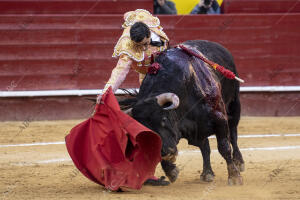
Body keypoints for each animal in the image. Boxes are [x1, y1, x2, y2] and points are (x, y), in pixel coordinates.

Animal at [120, 39, 245, 185]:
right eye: (146, 129)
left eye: (163, 119)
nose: (165, 153)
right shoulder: (190, 129)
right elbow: (204, 148)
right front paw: (171, 171)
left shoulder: (219, 119)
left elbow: (224, 147)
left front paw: (234, 177)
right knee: (205, 147)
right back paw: (207, 173)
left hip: (234, 106)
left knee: (233, 135)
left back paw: (239, 162)